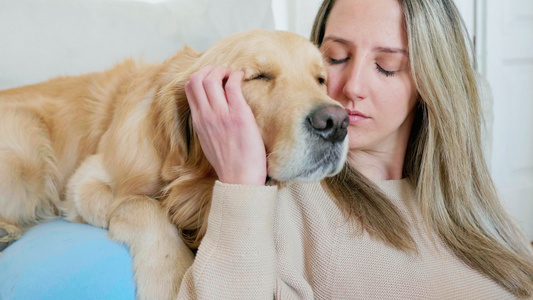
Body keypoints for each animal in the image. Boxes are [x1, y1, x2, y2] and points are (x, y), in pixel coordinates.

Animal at [0, 28, 350, 300]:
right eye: (258, 77)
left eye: (320, 80)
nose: (337, 122)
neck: (198, 179)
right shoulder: (84, 182)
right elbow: (145, 206)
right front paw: (170, 276)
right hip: (26, 162)